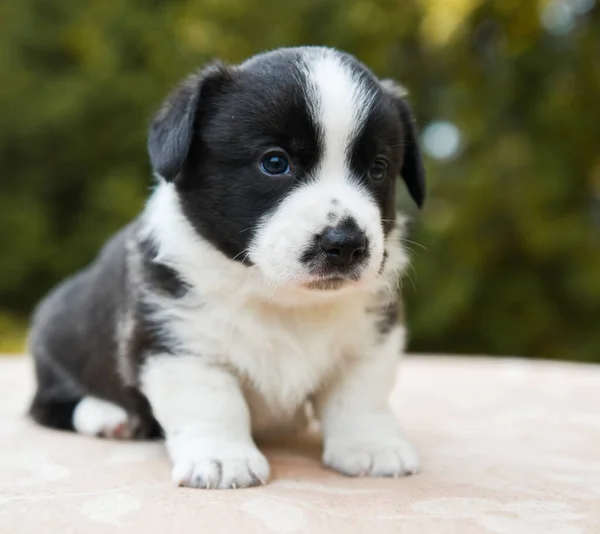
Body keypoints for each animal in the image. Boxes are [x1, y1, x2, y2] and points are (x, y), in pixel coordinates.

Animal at [25, 46, 424, 490]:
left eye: (378, 168)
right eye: (274, 162)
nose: (346, 244)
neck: (281, 298)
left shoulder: (369, 338)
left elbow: (360, 395)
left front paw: (372, 447)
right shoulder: (178, 341)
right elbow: (212, 401)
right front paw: (222, 459)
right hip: (56, 342)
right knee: (49, 405)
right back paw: (108, 415)